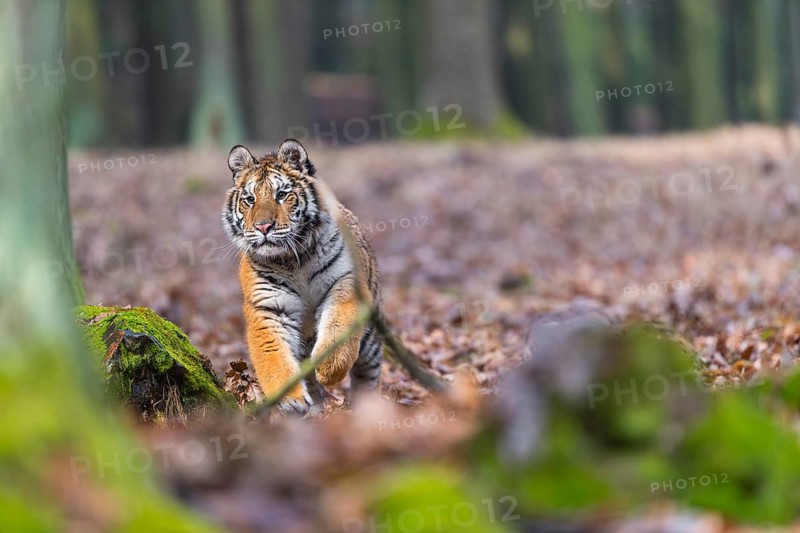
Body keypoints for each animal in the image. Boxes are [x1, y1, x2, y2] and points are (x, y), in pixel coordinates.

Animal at [221, 139, 382, 414]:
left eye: (281, 195)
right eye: (250, 199)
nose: (263, 227)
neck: (292, 260)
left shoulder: (344, 284)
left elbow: (338, 325)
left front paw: (329, 369)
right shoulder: (269, 308)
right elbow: (272, 356)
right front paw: (290, 398)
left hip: (371, 339)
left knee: (367, 373)